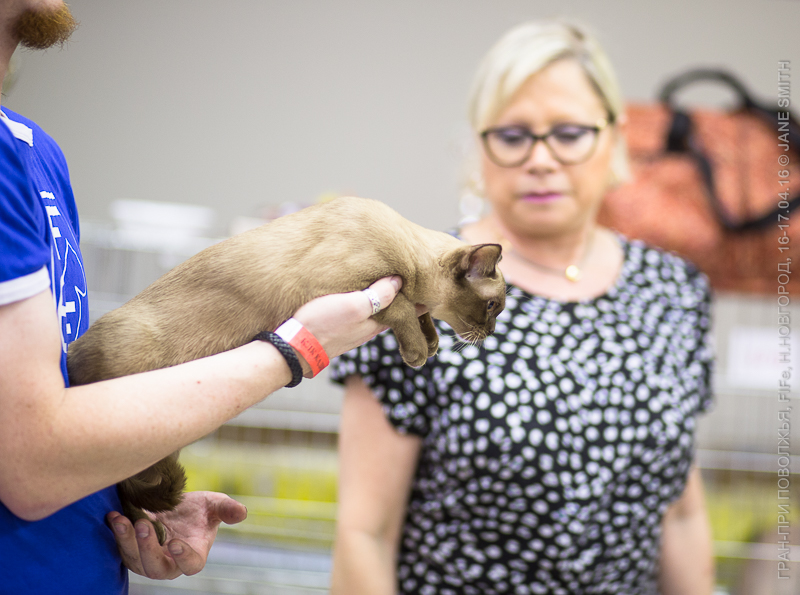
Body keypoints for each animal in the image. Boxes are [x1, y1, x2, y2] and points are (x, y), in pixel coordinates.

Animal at [69, 197, 506, 544]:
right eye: (492, 307)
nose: (491, 332)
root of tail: (71, 356)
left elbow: (423, 314)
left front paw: (429, 344)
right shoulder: (345, 284)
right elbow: (398, 305)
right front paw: (417, 351)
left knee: (124, 490)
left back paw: (147, 530)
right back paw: (147, 530)